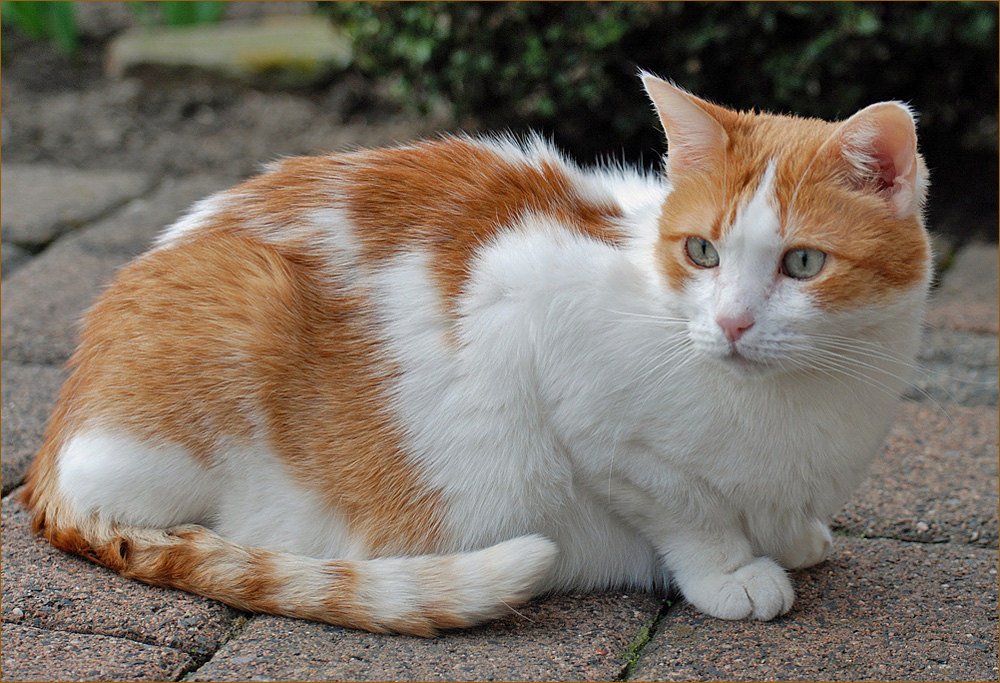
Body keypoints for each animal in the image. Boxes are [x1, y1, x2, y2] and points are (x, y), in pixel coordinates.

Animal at [21, 73, 928, 636]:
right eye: (701, 252)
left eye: (803, 263)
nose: (733, 323)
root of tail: (47, 458)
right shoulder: (541, 333)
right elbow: (684, 505)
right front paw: (734, 568)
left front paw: (792, 533)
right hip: (231, 319)